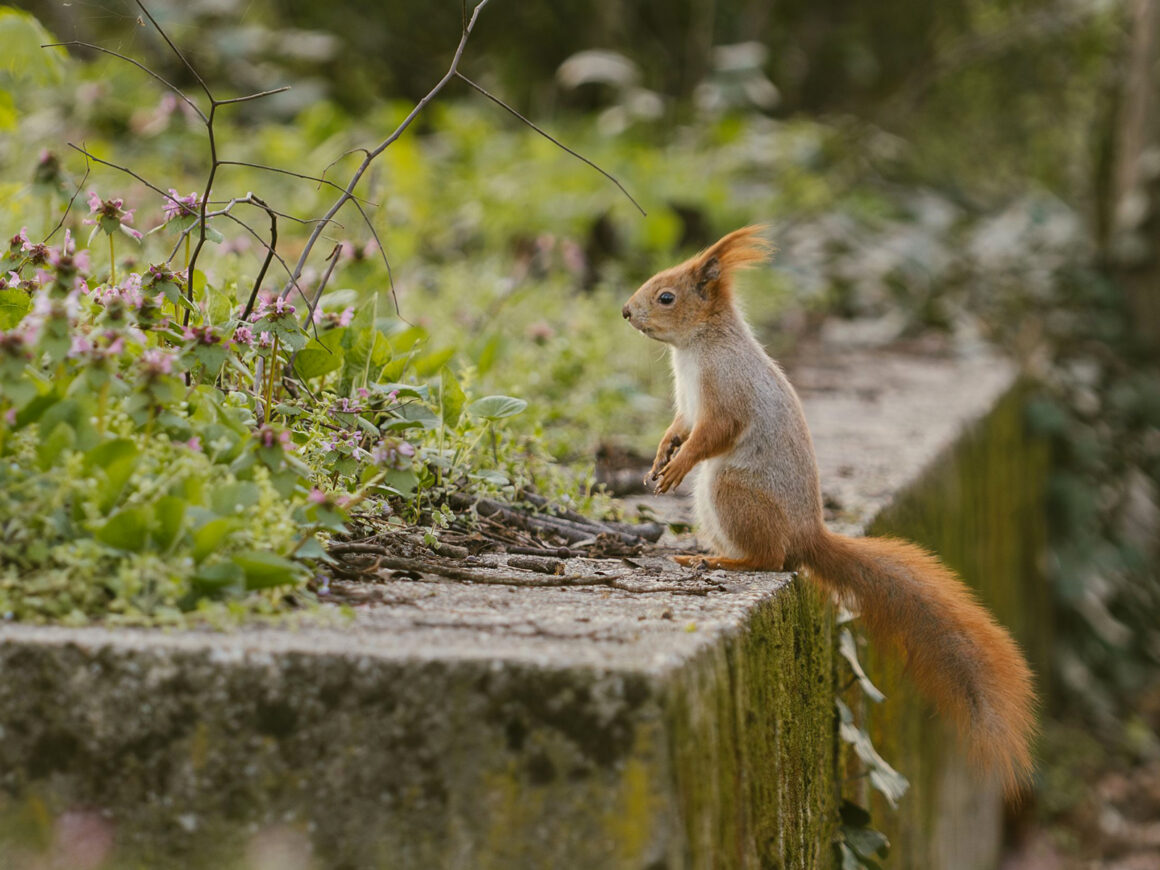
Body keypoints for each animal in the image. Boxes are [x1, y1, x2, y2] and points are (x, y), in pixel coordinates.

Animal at [621, 225, 1036, 796]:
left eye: (666, 297)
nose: (625, 311)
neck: (696, 348)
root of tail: (808, 536)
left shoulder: (726, 391)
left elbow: (713, 432)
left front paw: (677, 465)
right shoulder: (686, 403)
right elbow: (679, 426)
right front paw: (660, 457)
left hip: (730, 491)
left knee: (772, 559)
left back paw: (721, 560)